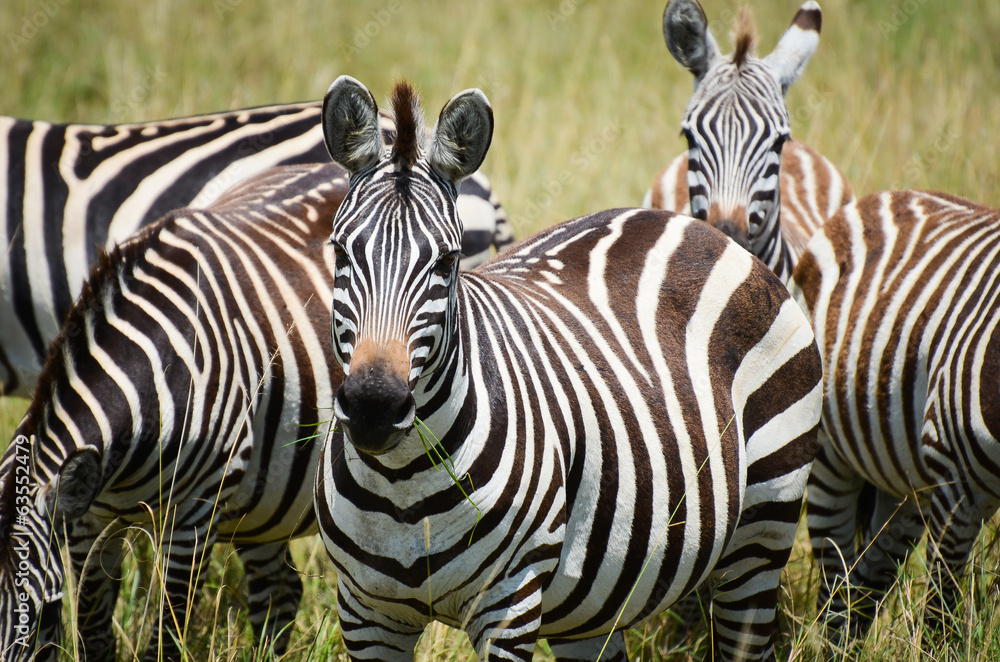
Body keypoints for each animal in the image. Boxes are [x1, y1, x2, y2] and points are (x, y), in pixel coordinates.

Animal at [0, 162, 349, 661]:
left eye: (43, 615)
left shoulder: (193, 517)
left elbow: (164, 638)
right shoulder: (87, 522)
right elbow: (94, 633)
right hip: (262, 504)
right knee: (279, 593)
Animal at [314, 76, 823, 661]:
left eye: (447, 261)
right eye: (340, 252)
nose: (373, 405)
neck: (403, 484)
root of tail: (695, 225)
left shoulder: (509, 603)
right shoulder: (365, 612)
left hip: (763, 527)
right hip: (598, 598)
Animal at [790, 190, 1000, 644]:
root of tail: (884, 195)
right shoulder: (957, 489)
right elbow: (941, 623)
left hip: (903, 482)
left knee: (865, 584)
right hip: (830, 458)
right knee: (838, 590)